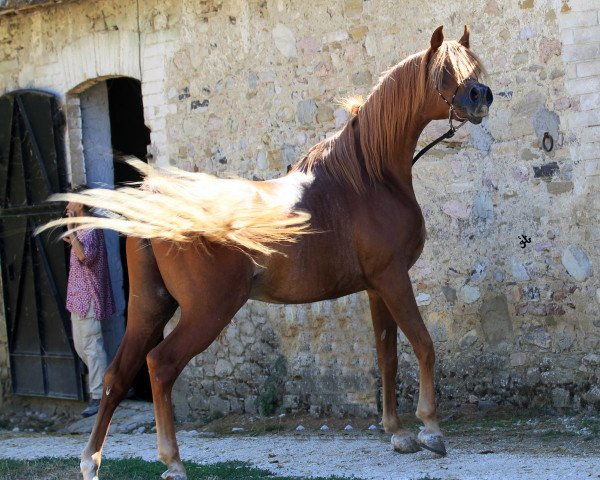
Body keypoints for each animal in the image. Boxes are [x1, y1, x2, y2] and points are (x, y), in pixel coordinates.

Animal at [42, 27, 492, 480]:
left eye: (472, 67)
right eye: (445, 70)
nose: (481, 96)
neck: (368, 178)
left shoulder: (376, 287)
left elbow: (387, 357)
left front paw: (397, 433)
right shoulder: (393, 278)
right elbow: (424, 344)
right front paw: (431, 429)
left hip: (149, 306)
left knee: (117, 374)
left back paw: (91, 461)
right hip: (209, 310)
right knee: (161, 365)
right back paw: (173, 462)